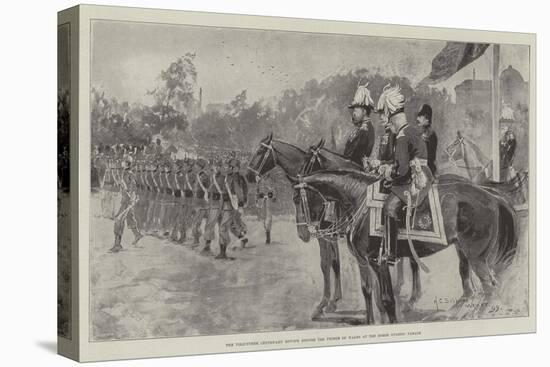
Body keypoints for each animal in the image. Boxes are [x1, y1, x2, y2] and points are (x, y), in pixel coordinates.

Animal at [298, 170, 516, 324]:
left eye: (298, 200)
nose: (304, 234)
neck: (360, 199)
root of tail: (494, 197)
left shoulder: (378, 261)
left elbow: (387, 299)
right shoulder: (365, 261)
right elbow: (370, 292)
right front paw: (372, 322)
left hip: (476, 256)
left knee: (489, 288)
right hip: (463, 251)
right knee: (471, 285)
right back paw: (453, 314)